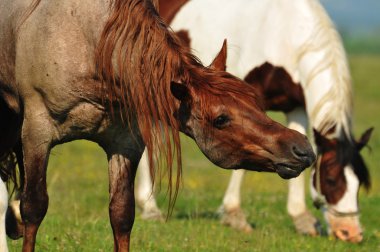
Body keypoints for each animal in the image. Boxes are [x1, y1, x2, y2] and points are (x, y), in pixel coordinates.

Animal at [0, 0, 314, 252]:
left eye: (257, 102)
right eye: (221, 119)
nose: (302, 149)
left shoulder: (124, 143)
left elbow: (122, 214)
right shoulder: (37, 133)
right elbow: (34, 206)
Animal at [135, 0, 372, 243]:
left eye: (359, 183)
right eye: (331, 180)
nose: (351, 233)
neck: (286, 32)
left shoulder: (295, 106)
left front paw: (302, 219)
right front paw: (234, 214)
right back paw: (149, 207)